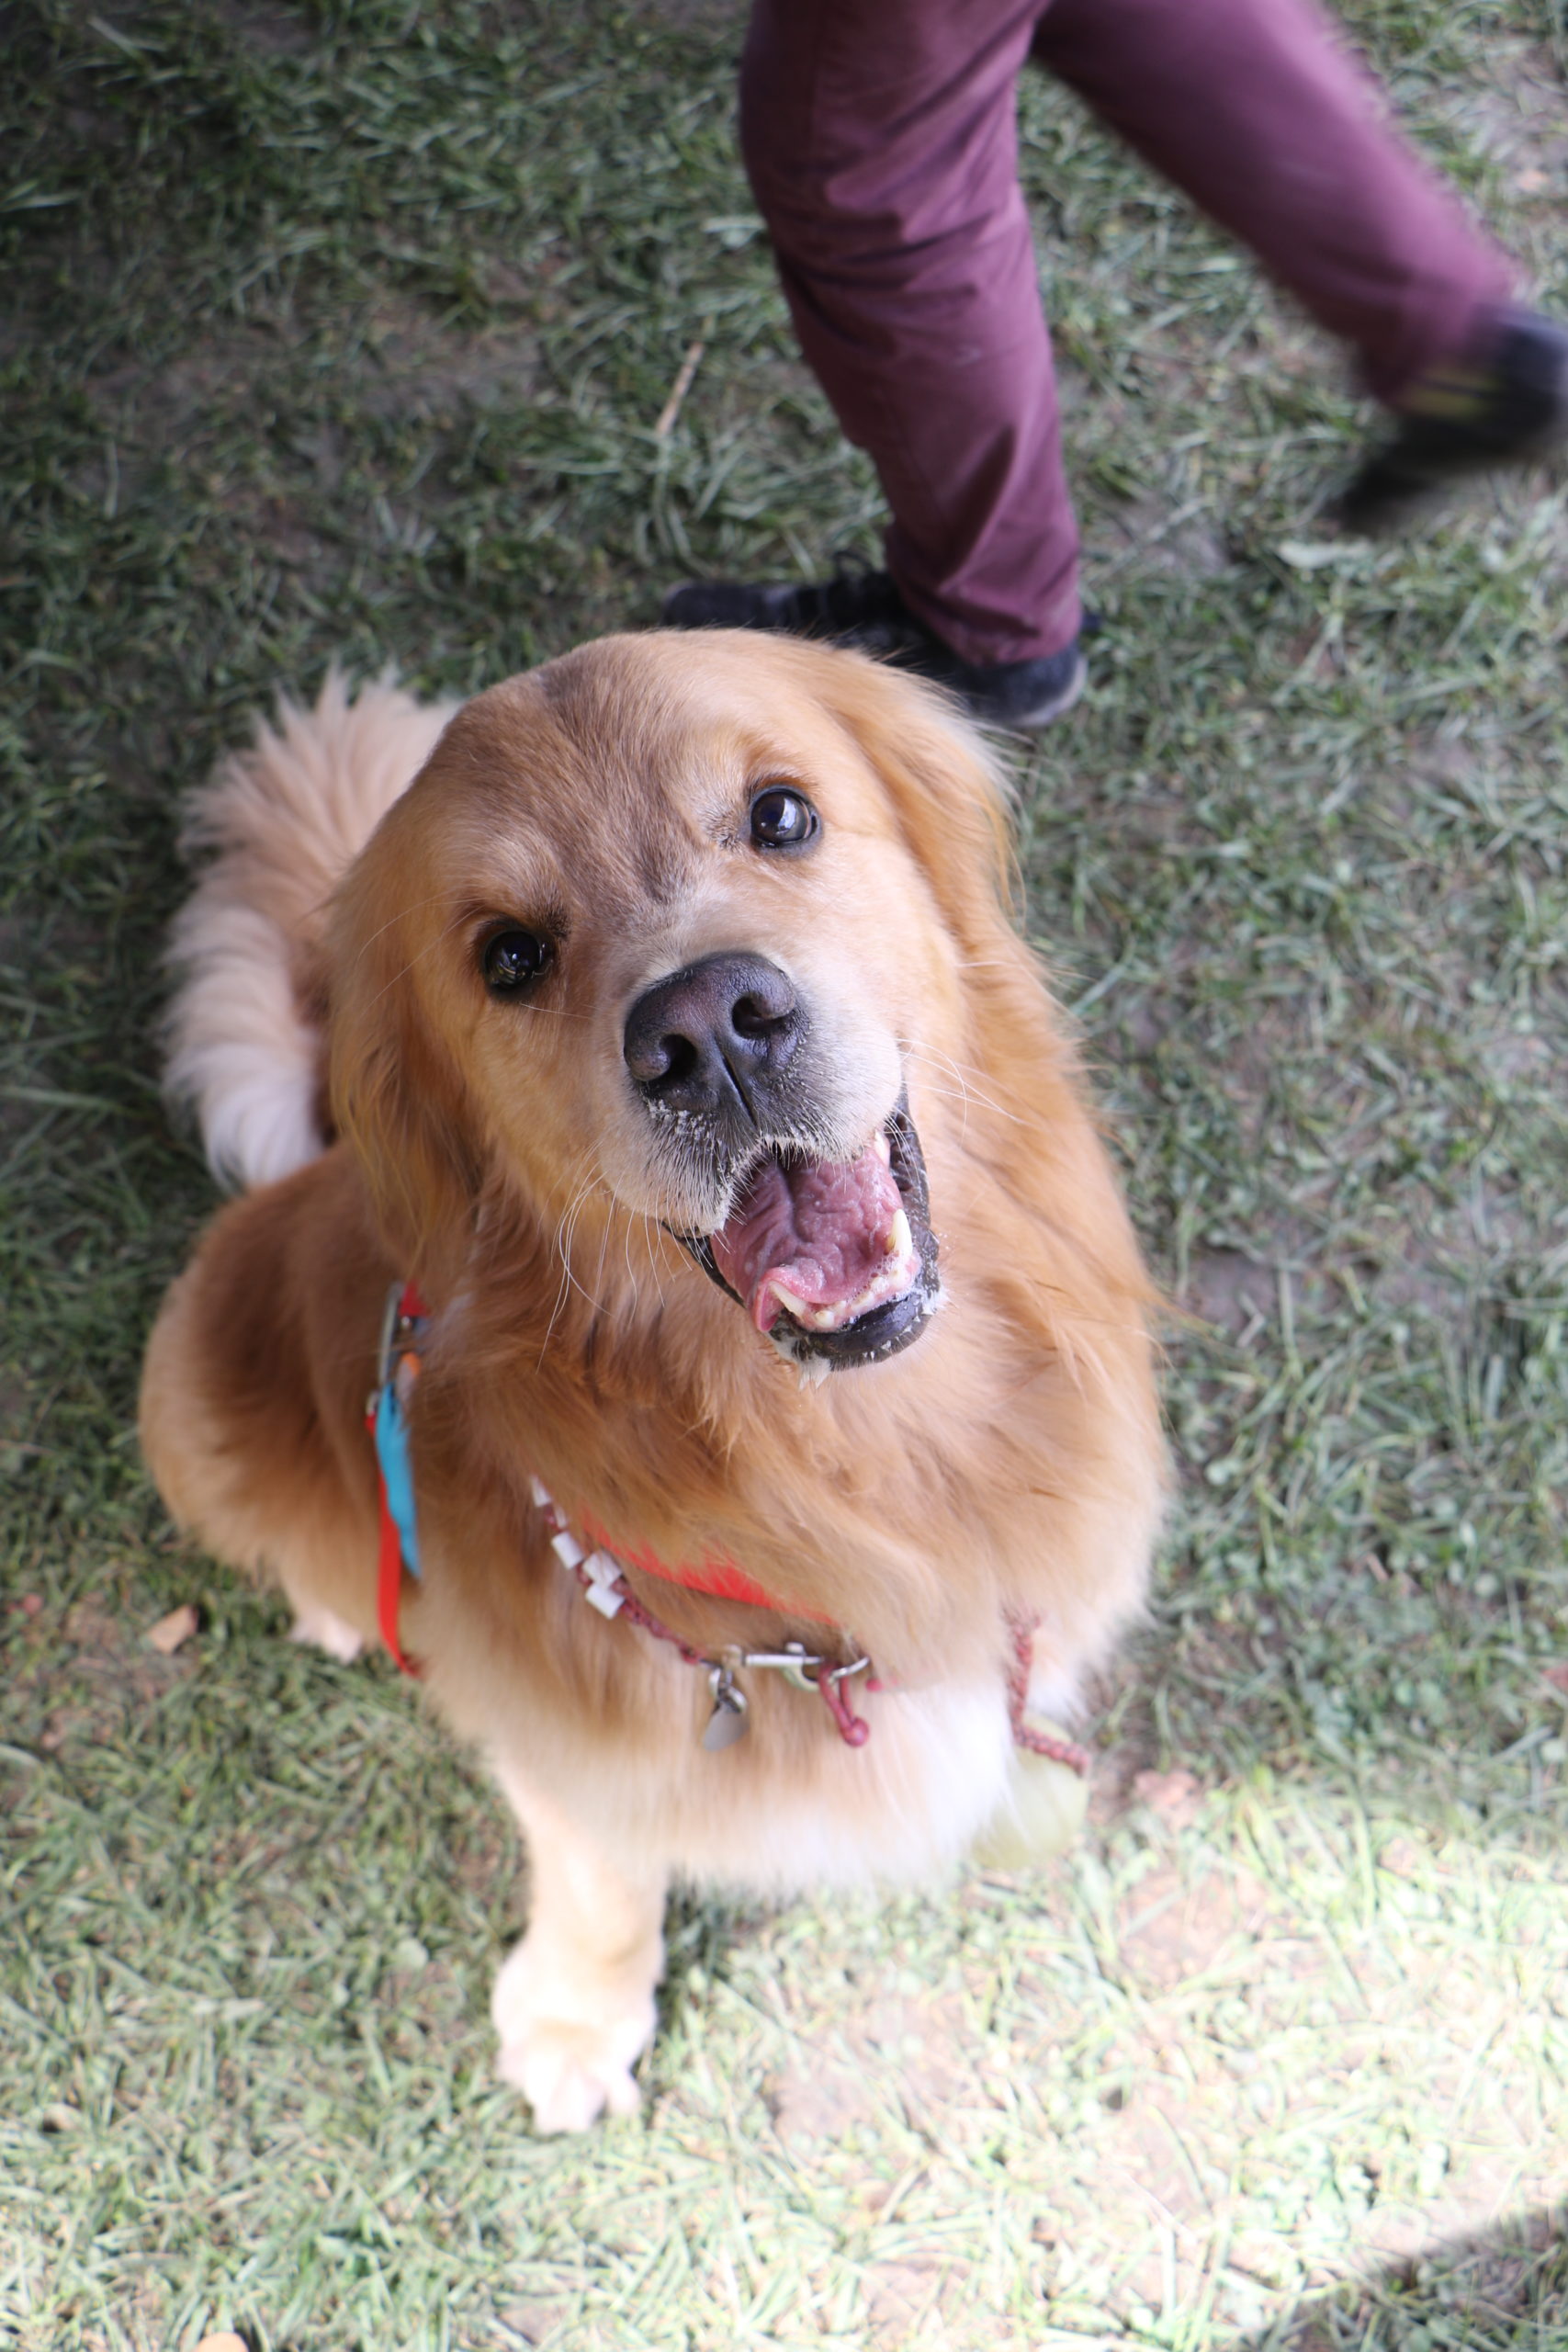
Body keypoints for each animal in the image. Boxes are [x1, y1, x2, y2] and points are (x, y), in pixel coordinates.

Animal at [140, 632, 1164, 2133]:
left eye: (782, 815)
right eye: (508, 955)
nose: (709, 1031)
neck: (851, 1471)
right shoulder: (568, 1747)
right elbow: (601, 1875)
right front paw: (578, 2017)